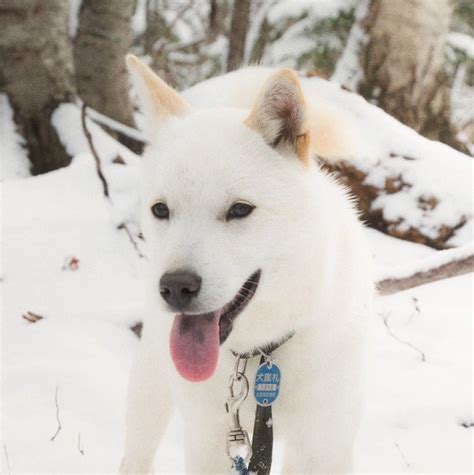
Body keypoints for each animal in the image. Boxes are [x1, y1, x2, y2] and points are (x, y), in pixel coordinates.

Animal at [120, 54, 372, 472]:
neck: (262, 354)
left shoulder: (324, 447)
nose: (176, 286)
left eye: (240, 210)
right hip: (150, 385)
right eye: (160, 210)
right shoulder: (209, 442)